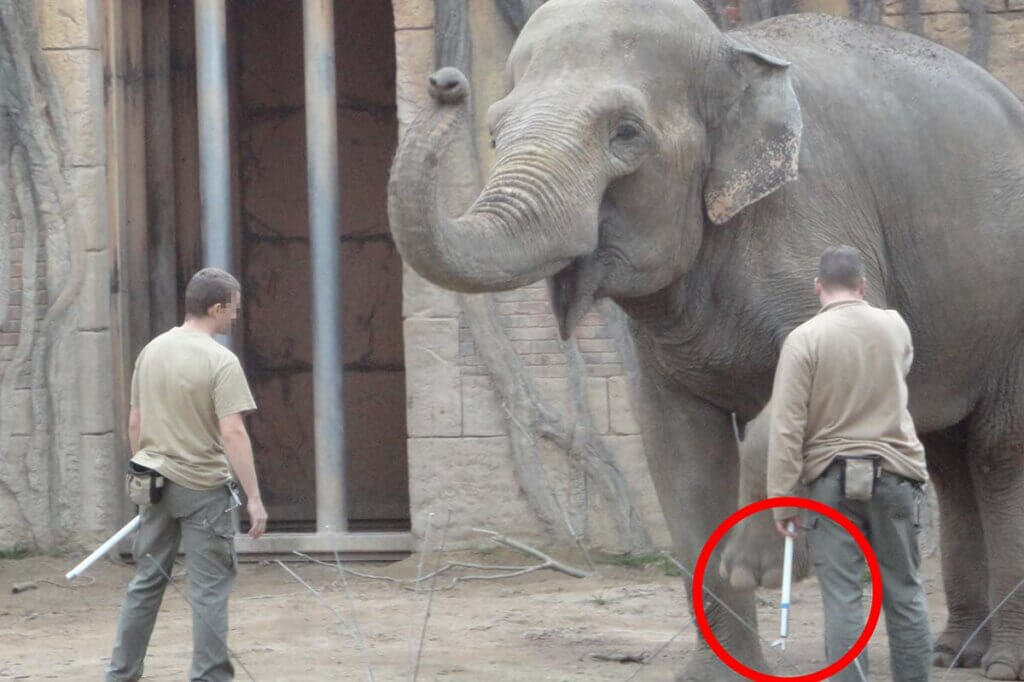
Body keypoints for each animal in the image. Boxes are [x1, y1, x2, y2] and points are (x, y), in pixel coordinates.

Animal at [387, 0, 1024, 675]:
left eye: (626, 133)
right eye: (494, 135)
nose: (445, 81)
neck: (731, 49)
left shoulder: (814, 220)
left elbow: (804, 396)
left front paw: (764, 565)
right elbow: (680, 452)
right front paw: (722, 670)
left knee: (996, 454)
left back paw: (1000, 662)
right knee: (949, 457)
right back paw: (955, 653)